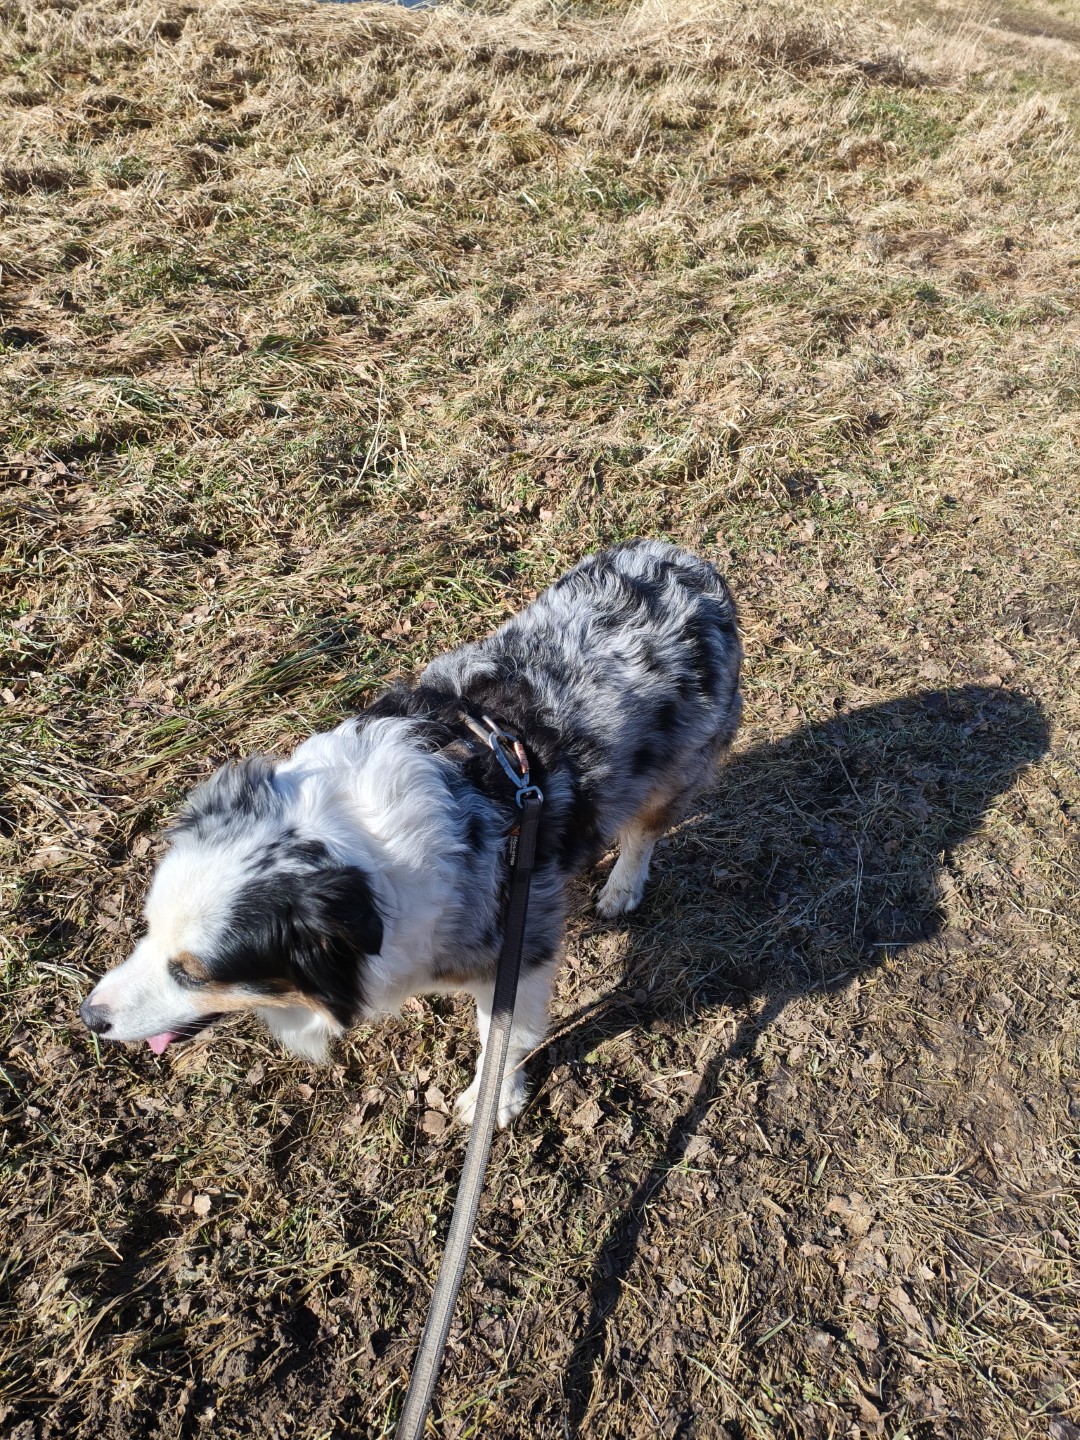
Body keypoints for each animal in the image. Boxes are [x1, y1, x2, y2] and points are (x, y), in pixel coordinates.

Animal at [80, 540, 742, 1125]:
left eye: (194, 974)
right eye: (147, 927)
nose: (90, 1017)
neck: (359, 859)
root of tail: (687, 562)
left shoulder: (520, 947)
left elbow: (505, 1035)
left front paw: (491, 1103)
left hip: (676, 769)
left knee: (644, 831)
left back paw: (622, 888)